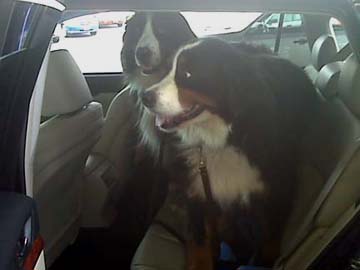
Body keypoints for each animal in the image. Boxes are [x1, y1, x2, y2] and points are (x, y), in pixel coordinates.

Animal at [139, 37, 320, 266]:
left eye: (188, 74)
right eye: (169, 69)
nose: (145, 97)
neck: (223, 141)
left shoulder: (278, 191)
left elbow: (270, 240)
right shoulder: (198, 189)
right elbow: (199, 241)